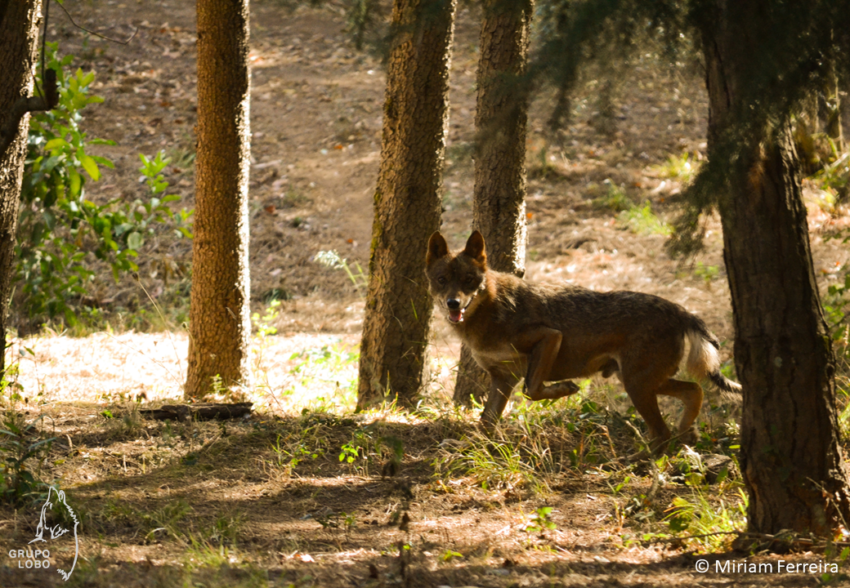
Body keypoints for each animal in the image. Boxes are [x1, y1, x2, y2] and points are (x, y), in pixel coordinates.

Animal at [424, 230, 736, 450]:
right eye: (441, 280)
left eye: (468, 279)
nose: (453, 304)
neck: (489, 313)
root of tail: (680, 310)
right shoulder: (502, 378)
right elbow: (486, 423)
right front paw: (466, 448)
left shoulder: (549, 337)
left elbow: (532, 390)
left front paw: (566, 388)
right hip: (644, 382)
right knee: (695, 391)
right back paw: (686, 435)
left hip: (637, 385)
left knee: (663, 430)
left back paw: (640, 460)